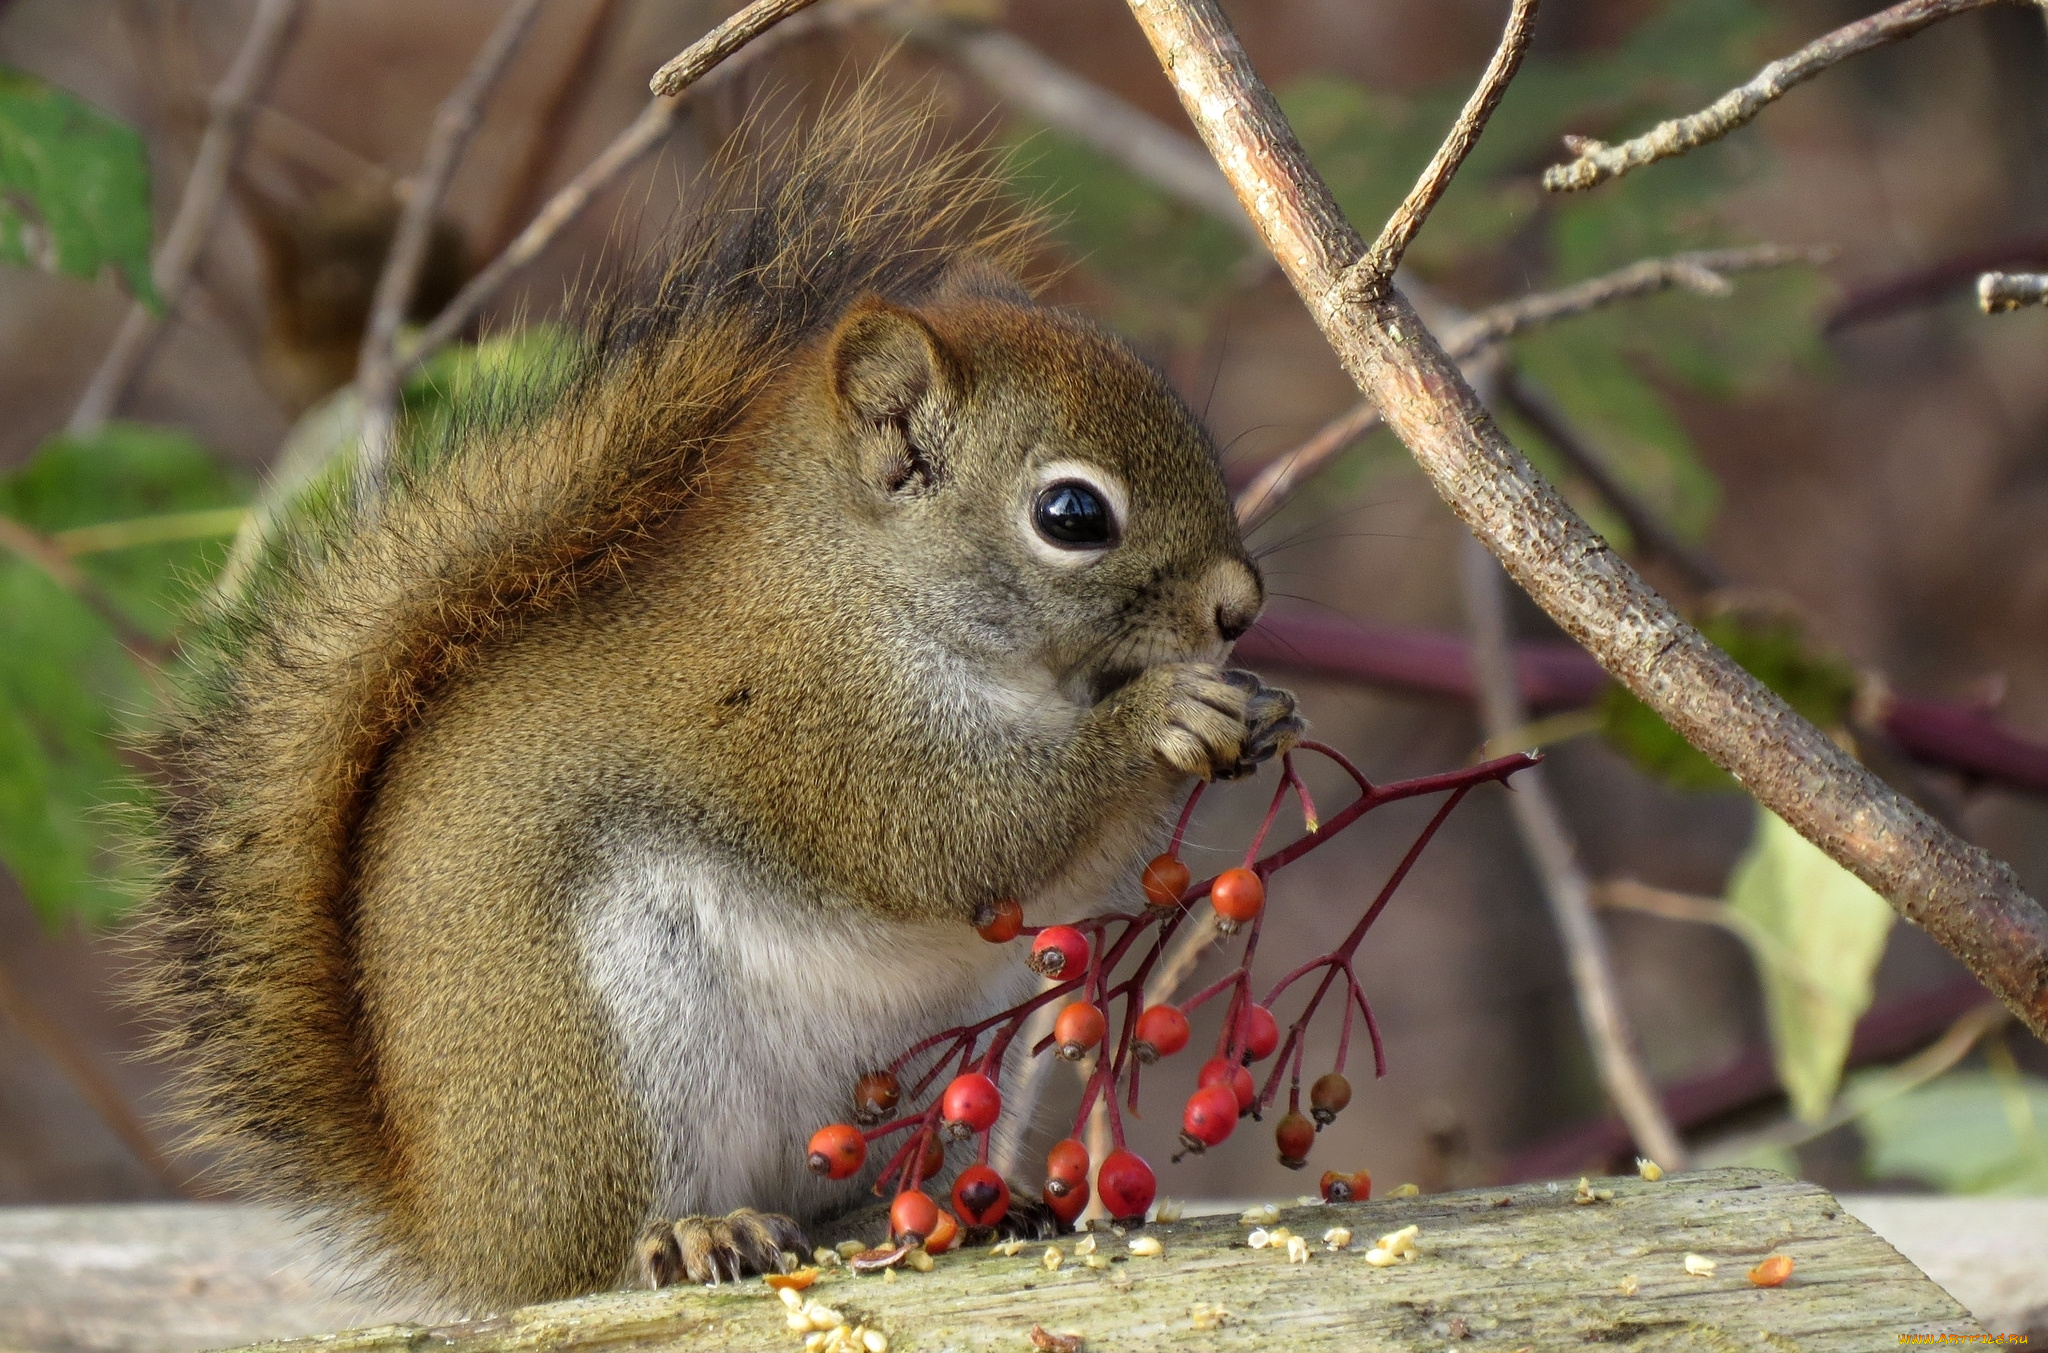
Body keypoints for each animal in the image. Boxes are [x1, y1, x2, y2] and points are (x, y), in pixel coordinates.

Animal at [140, 92, 1294, 1310]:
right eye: (1073, 515)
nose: (1236, 608)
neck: (864, 585)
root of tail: (461, 1231)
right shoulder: (817, 723)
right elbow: (961, 840)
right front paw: (1165, 719)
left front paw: (1255, 709)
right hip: (602, 1059)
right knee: (599, 1249)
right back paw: (694, 1235)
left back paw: (963, 1210)